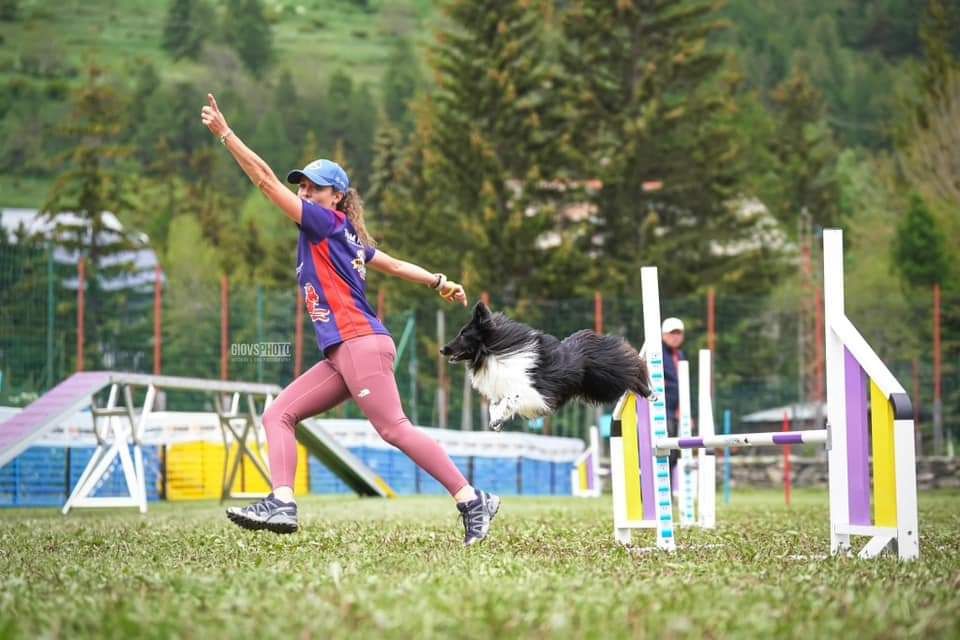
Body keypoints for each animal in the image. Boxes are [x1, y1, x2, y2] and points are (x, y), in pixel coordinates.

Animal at [441, 301, 652, 430]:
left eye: (463, 334)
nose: (443, 349)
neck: (492, 353)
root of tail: (592, 336)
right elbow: (495, 405)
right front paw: (496, 421)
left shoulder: (535, 394)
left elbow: (510, 400)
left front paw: (499, 419)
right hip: (596, 386)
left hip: (608, 376)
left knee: (634, 369)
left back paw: (650, 393)